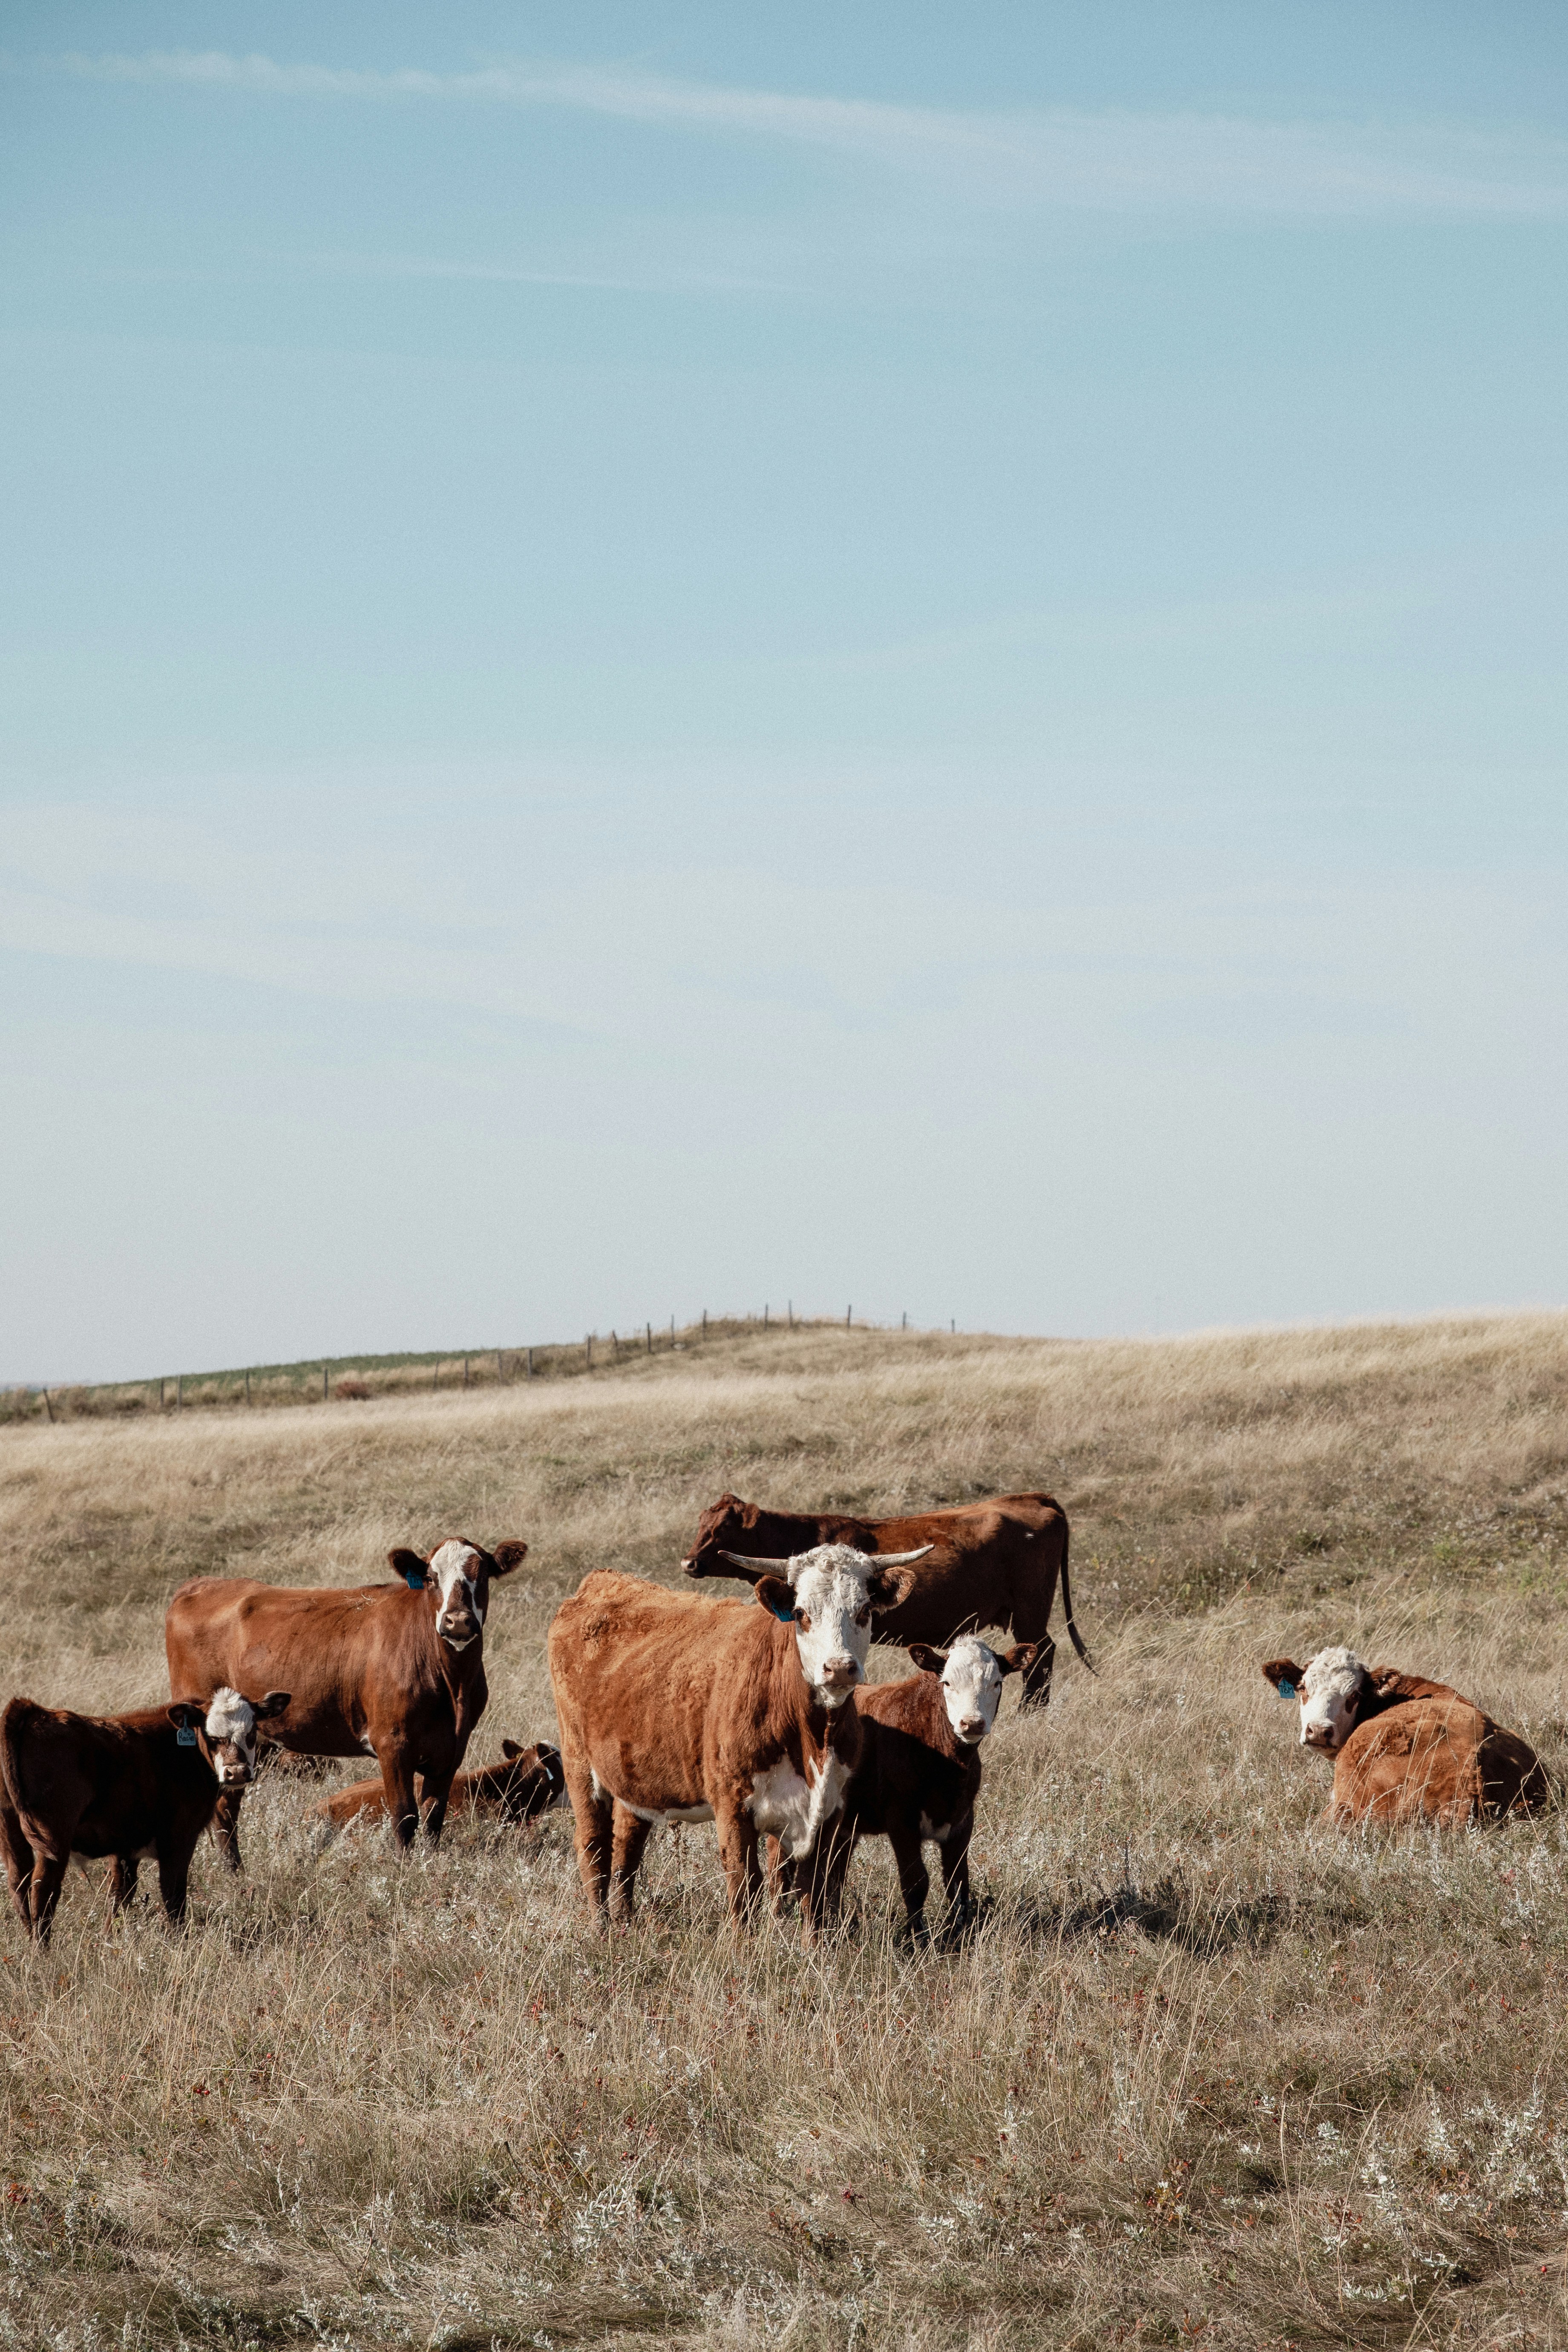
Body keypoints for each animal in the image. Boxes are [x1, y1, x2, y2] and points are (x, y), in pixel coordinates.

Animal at [0, 1686, 290, 1941]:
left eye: (252, 1732)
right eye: (212, 1737)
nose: (237, 1772)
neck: (183, 1751)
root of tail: (33, 1711)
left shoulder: (126, 1845)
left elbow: (120, 1893)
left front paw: (109, 1939)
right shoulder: (179, 1838)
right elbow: (173, 1892)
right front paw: (179, 1941)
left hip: (12, 1831)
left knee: (18, 1883)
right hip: (54, 1836)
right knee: (43, 1887)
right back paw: (42, 1950)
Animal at [165, 1535, 527, 1860]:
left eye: (483, 1575)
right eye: (430, 1578)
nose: (458, 1621)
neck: (453, 1685)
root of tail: (202, 1584)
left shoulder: (452, 1747)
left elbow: (433, 1817)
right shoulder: (392, 1743)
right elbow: (404, 1815)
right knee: (224, 1809)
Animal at [548, 1542, 925, 1936]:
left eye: (865, 1610)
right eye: (801, 1613)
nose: (839, 1668)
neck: (813, 1741)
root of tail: (602, 1581)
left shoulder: (830, 1809)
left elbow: (814, 1890)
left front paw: (812, 1946)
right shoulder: (731, 1804)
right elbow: (745, 1883)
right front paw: (742, 1945)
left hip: (634, 1774)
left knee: (627, 1844)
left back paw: (624, 1923)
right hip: (578, 1762)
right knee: (593, 1846)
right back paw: (602, 1929)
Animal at [681, 1491, 1087, 1707]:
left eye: (723, 1528)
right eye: (701, 1524)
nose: (689, 1563)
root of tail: (1030, 1497)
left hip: (1030, 1612)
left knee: (1040, 1656)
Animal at [812, 1636, 1038, 1945]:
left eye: (997, 1683)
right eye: (947, 1683)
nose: (972, 1723)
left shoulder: (963, 1820)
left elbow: (958, 1884)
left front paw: (957, 1935)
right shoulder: (901, 1819)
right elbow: (916, 1882)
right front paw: (916, 1939)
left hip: (847, 1825)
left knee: (835, 1872)